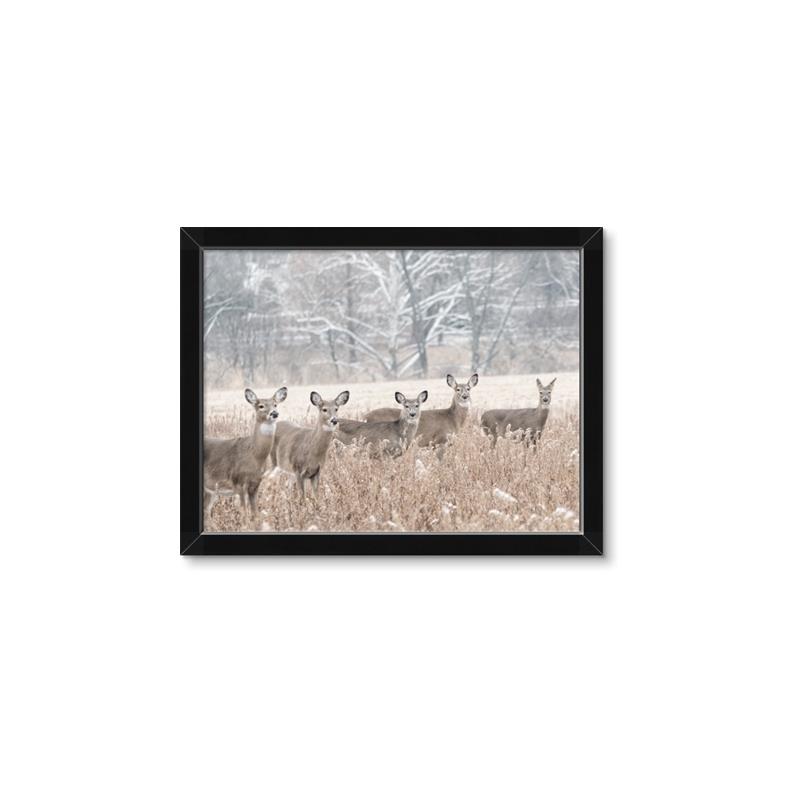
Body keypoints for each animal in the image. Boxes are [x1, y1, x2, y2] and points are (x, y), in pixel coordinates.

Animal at [204, 386, 288, 529]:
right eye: (261, 406)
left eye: (275, 404)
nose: (274, 413)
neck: (254, 455)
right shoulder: (238, 482)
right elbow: (244, 514)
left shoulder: (255, 484)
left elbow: (255, 514)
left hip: (210, 490)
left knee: (206, 513)